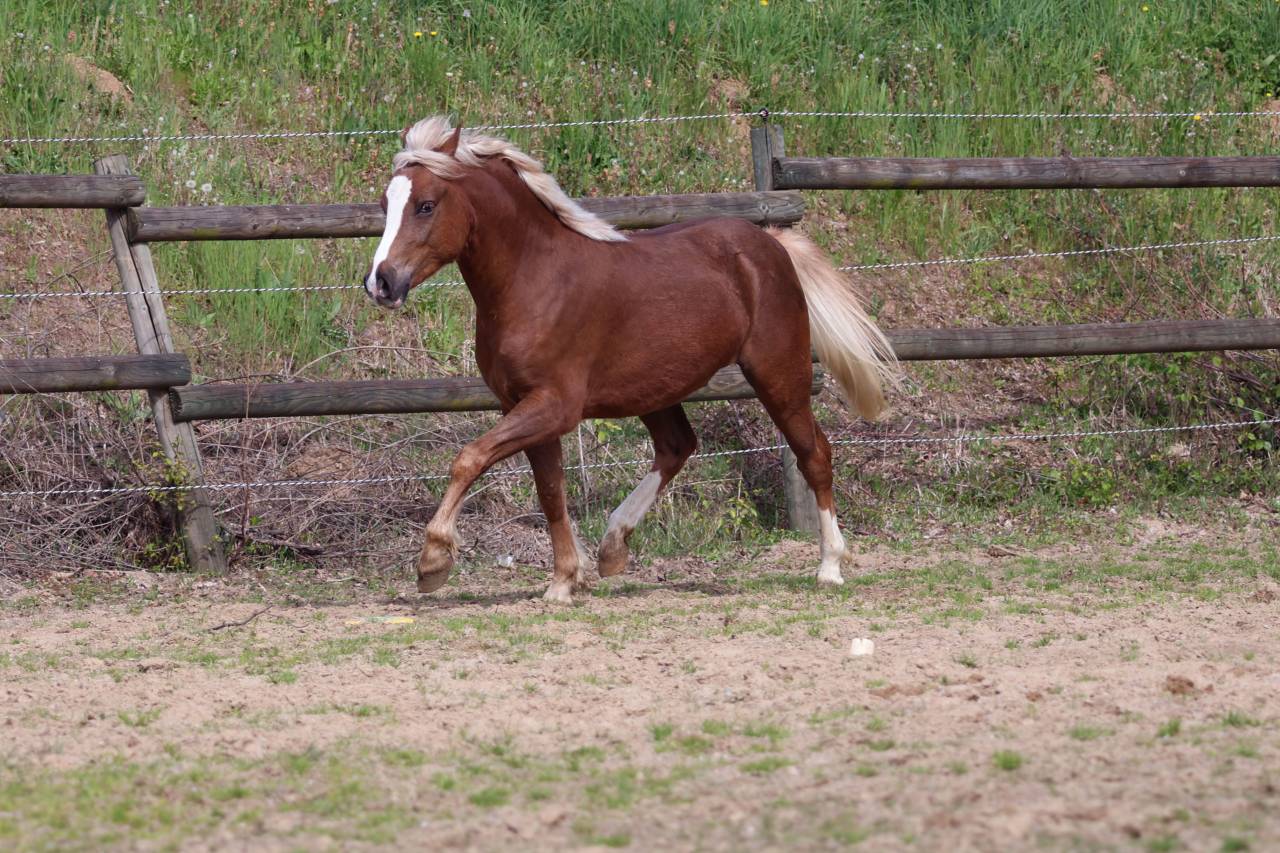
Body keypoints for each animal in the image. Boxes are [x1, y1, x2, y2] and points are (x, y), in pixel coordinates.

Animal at [365, 116, 897, 603]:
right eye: (385, 205)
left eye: (426, 205)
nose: (380, 283)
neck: (534, 280)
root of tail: (770, 243)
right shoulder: (523, 406)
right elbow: (550, 491)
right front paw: (564, 581)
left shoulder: (554, 406)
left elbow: (469, 458)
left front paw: (433, 561)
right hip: (655, 388)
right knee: (678, 446)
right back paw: (613, 546)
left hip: (778, 374)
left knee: (814, 453)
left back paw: (829, 567)